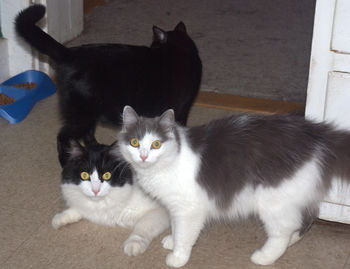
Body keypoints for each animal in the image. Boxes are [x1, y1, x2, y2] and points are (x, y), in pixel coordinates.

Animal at [15, 3, 202, 165]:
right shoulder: (182, 108)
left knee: (87, 134)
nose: (151, 46)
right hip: (82, 113)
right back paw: (65, 161)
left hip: (90, 110)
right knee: (63, 136)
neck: (178, 52)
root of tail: (69, 53)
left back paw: (95, 149)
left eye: (153, 44)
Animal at [116, 105, 350, 266]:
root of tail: (315, 134)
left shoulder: (189, 209)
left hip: (273, 201)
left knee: (283, 230)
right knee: (304, 220)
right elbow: (175, 227)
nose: (143, 156)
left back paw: (264, 257)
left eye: (156, 144)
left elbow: (184, 235)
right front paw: (171, 241)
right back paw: (291, 242)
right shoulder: (175, 207)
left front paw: (178, 257)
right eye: (135, 143)